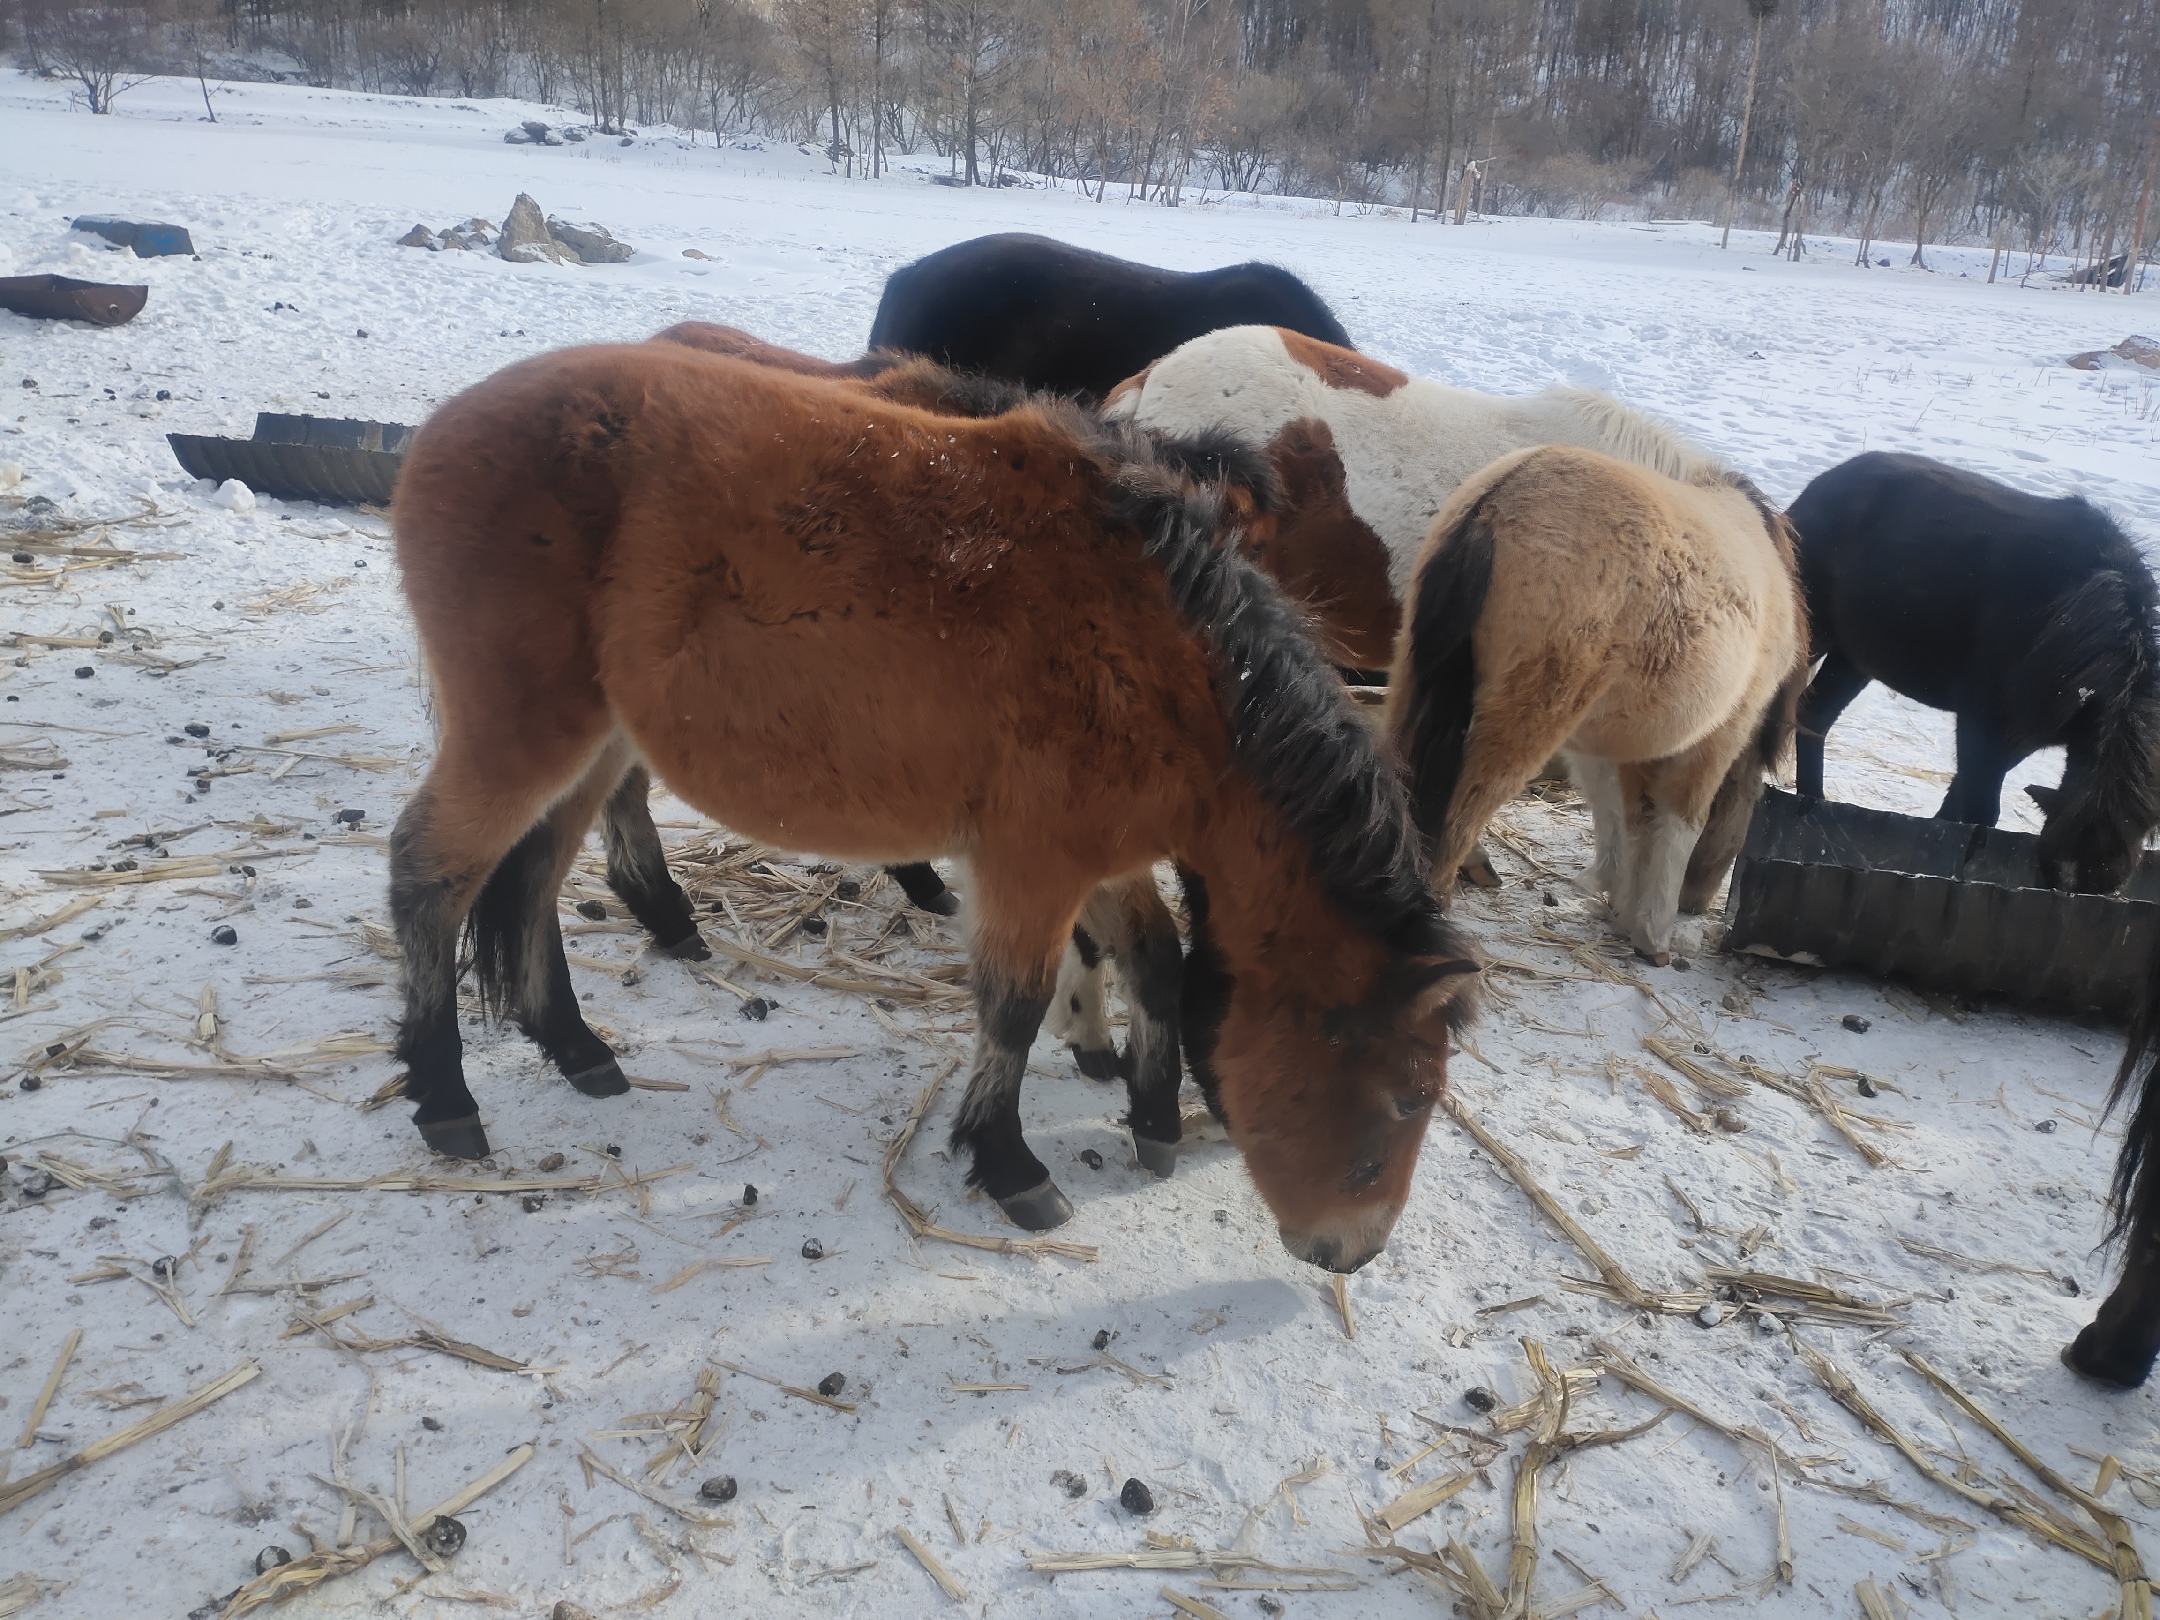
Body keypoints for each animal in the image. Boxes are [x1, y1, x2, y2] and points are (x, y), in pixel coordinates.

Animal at [388, 341, 1478, 1266]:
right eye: (1401, 1099)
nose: (1354, 1250)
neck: (1167, 660)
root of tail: (441, 431)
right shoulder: (1031, 866)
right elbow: (1017, 1006)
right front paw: (1010, 1162)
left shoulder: (1097, 855)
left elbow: (1155, 960)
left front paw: (1154, 1117)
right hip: (525, 737)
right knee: (431, 874)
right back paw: (445, 1099)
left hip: (594, 746)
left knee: (530, 880)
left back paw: (575, 1047)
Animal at [1384, 445, 1809, 964]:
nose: (1697, 901)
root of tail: (1499, 502)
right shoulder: (1721, 736)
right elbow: (1679, 822)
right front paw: (1652, 931)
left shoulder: (1634, 740)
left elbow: (1631, 817)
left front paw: (1623, 908)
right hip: (1519, 724)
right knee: (1457, 824)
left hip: (1412, 686)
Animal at [1789, 451, 2160, 893]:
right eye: (2048, 871)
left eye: (2109, 887)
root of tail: (1823, 484)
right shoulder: (1981, 720)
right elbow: (1980, 810)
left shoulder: (2020, 737)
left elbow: (1960, 799)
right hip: (1814, 633)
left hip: (1853, 658)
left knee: (1814, 718)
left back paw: (1814, 805)